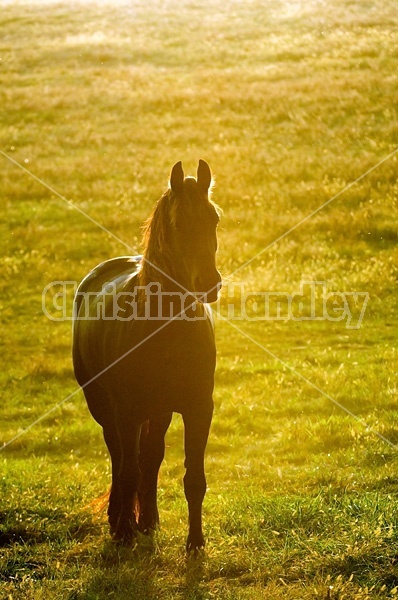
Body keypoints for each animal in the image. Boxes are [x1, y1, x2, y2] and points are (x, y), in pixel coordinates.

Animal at [71, 161, 221, 552]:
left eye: (214, 218)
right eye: (179, 224)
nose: (210, 284)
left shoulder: (198, 408)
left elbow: (193, 478)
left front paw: (195, 543)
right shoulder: (127, 411)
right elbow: (127, 470)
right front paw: (124, 532)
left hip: (160, 410)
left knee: (150, 458)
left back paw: (148, 520)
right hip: (106, 407)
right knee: (119, 457)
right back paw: (119, 520)